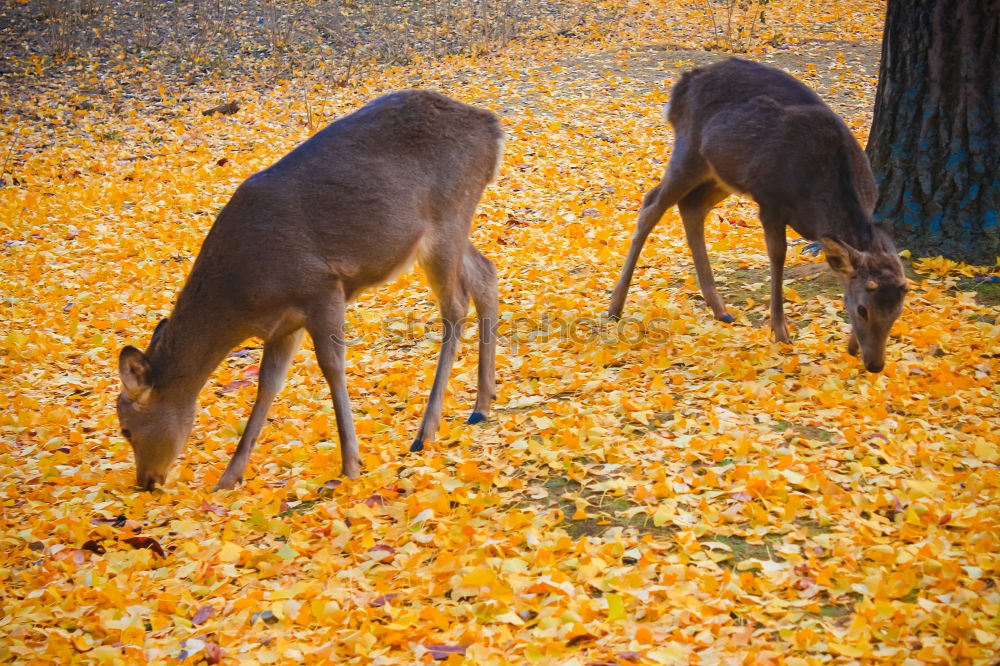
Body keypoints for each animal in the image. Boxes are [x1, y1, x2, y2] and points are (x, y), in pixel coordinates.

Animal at [117, 89, 504, 488]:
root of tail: (492, 128)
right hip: (445, 233)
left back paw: (425, 432)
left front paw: (350, 465)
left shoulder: (321, 288)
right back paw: (481, 406)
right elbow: (267, 385)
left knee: (455, 306)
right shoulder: (282, 325)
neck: (241, 300)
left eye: (125, 429)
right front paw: (229, 478)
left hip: (447, 219)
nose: (146, 482)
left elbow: (332, 367)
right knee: (486, 273)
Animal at [608, 59, 908, 370]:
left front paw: (849, 345)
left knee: (692, 207)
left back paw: (721, 310)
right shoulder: (770, 201)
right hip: (689, 150)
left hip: (721, 174)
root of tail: (682, 84)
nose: (875, 365)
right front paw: (781, 332)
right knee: (651, 204)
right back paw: (615, 307)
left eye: (897, 311)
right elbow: (778, 256)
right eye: (862, 309)